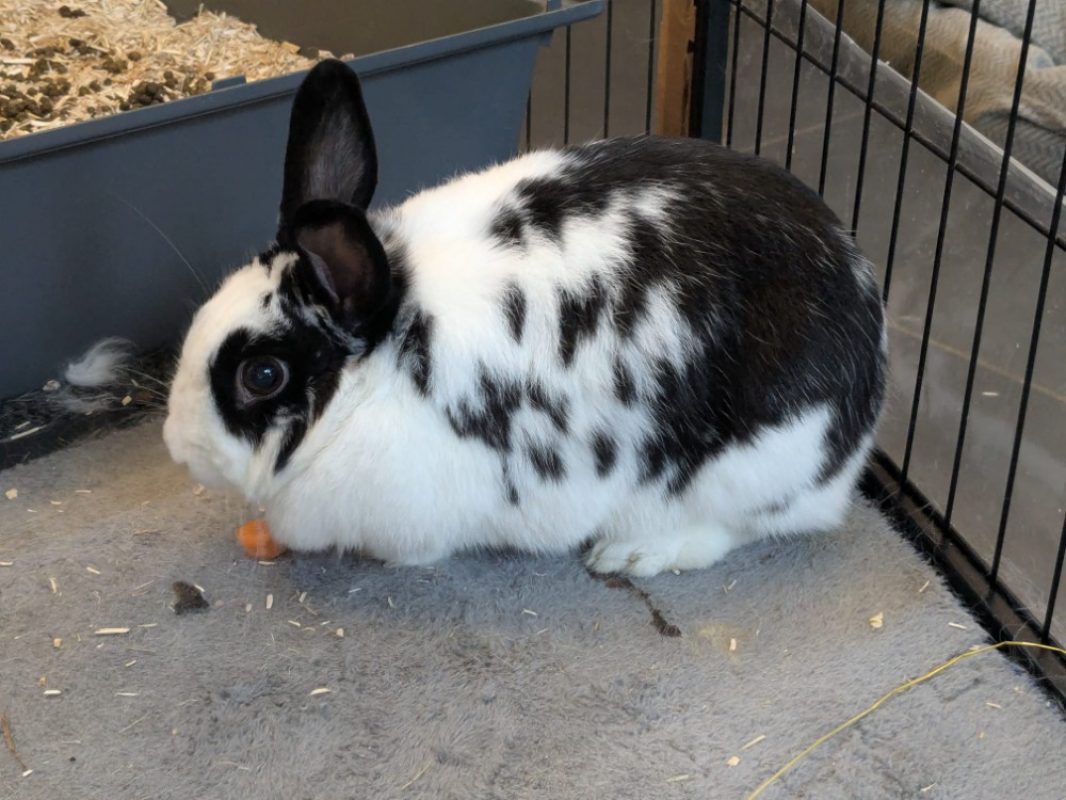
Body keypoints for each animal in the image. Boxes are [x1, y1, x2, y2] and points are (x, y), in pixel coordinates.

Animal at [163, 59, 886, 577]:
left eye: (262, 375)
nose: (175, 447)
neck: (383, 361)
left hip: (739, 473)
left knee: (727, 530)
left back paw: (630, 555)